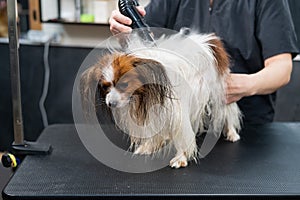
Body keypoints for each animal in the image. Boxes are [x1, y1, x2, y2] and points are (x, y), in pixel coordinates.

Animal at [79, 30, 241, 169]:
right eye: (105, 87)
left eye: (124, 85)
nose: (110, 103)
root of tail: (211, 40)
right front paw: (149, 146)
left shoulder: (178, 111)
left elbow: (182, 135)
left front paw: (181, 158)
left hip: (220, 92)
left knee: (229, 112)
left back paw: (232, 133)